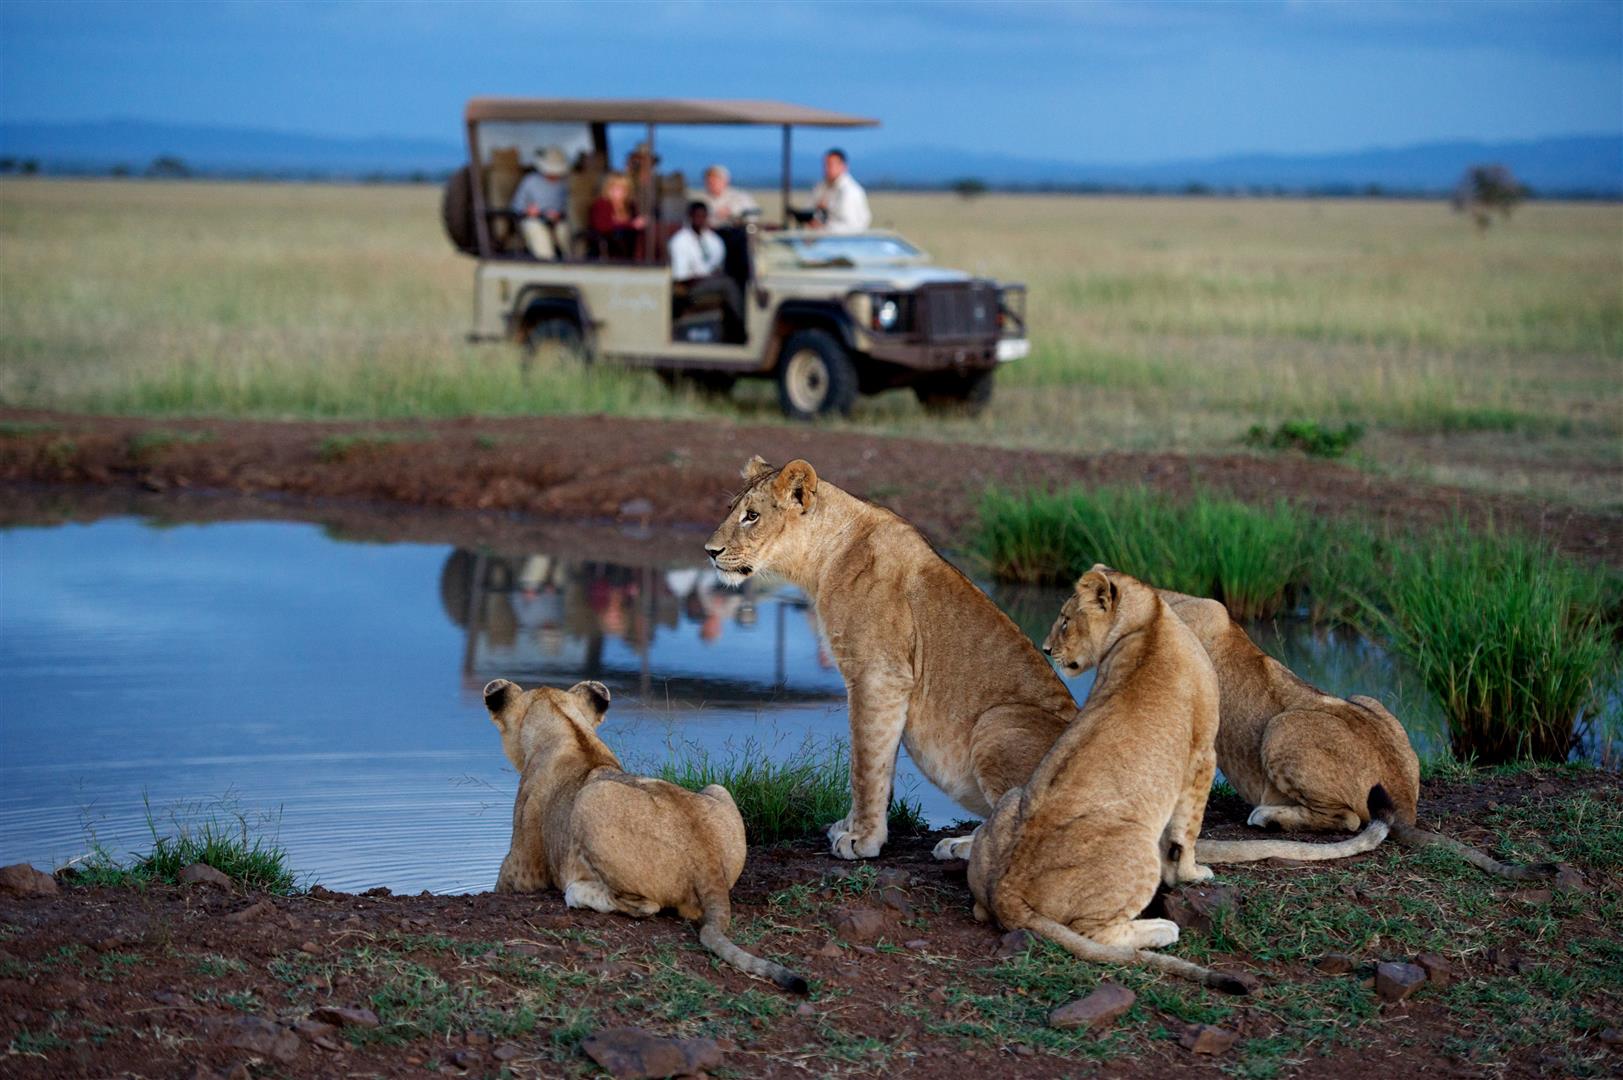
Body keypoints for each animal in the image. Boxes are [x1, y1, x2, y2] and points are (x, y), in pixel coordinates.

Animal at [480, 675, 811, 993]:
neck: (569, 728)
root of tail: (708, 864)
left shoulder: (523, 871)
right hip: (718, 788)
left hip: (591, 799)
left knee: (645, 906)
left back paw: (578, 892)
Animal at [707, 454, 1077, 857]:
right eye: (732, 510)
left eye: (752, 516)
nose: (710, 552)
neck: (823, 559)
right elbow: (877, 761)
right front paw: (851, 826)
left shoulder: (878, 675)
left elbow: (865, 762)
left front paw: (863, 839)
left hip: (997, 721)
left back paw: (961, 845)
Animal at [960, 568, 1252, 987]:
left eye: (1066, 620)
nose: (1046, 649)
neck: (1148, 619)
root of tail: (1006, 891)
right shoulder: (1201, 753)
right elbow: (1187, 831)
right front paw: (1192, 874)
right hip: (1135, 846)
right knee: (1094, 934)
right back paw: (1162, 929)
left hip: (1012, 798)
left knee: (981, 909)